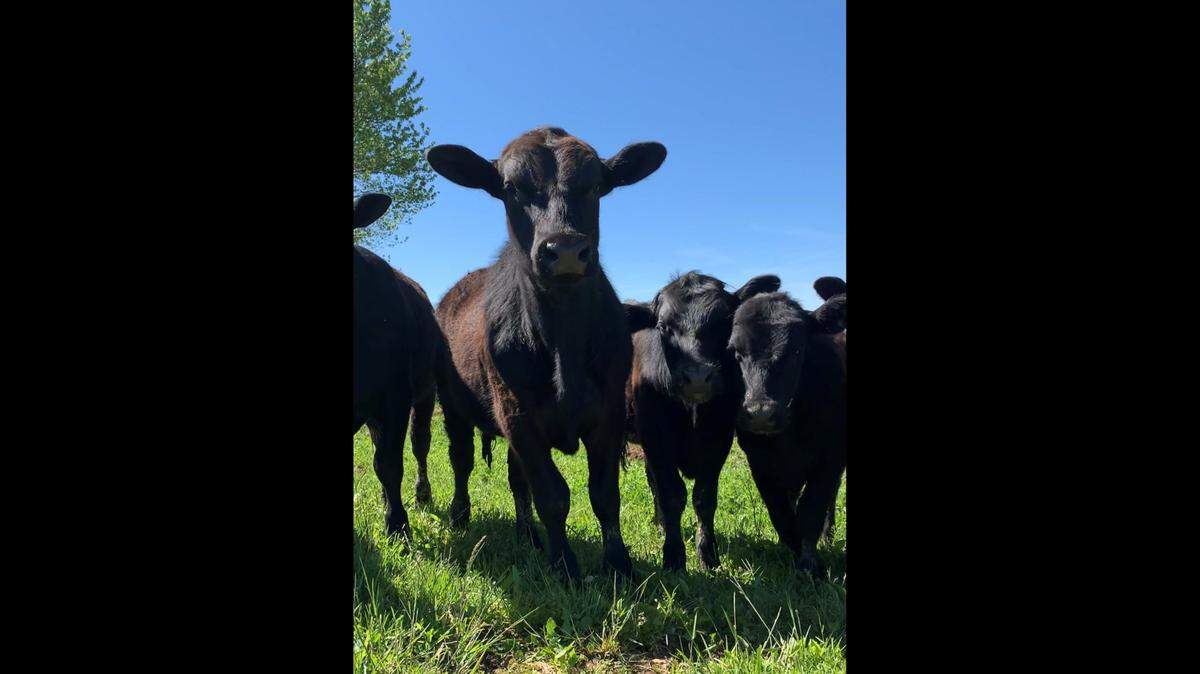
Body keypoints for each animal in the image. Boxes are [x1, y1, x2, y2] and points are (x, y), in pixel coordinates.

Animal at [352, 194, 441, 537]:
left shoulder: (395, 397)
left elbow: (389, 463)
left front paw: (397, 524)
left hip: (426, 393)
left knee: (419, 445)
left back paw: (421, 496)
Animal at [426, 127, 667, 581]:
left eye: (595, 186)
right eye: (510, 188)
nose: (566, 250)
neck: (563, 344)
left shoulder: (608, 413)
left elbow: (604, 494)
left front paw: (618, 564)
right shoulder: (518, 415)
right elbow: (552, 494)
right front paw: (565, 566)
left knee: (514, 477)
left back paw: (527, 535)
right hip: (452, 405)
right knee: (461, 460)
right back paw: (460, 514)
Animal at [622, 272, 780, 572]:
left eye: (724, 322)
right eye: (663, 326)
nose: (697, 378)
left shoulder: (719, 439)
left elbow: (704, 498)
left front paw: (708, 555)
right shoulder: (656, 437)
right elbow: (672, 495)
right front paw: (673, 556)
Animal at [729, 290, 846, 578]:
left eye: (796, 349)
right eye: (736, 352)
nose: (760, 413)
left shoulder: (829, 459)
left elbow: (811, 510)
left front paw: (809, 565)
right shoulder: (760, 464)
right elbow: (780, 513)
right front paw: (792, 549)